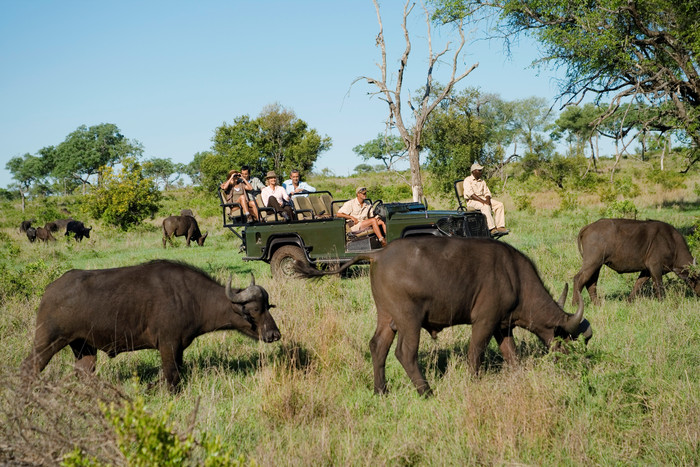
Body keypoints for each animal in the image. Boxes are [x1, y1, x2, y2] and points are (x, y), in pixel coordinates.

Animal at [21, 262, 282, 390]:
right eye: (254, 310)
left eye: (268, 306)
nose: (274, 334)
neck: (192, 298)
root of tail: (50, 290)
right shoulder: (168, 344)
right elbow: (172, 376)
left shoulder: (178, 348)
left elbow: (172, 373)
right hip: (48, 342)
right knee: (29, 368)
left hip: (84, 349)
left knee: (83, 373)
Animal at [296, 238, 592, 394]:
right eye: (567, 340)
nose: (576, 365)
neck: (515, 277)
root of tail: (378, 253)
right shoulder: (484, 322)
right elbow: (475, 353)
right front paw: (474, 381)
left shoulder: (502, 326)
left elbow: (512, 354)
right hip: (409, 320)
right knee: (405, 353)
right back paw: (425, 391)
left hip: (387, 318)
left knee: (377, 346)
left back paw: (381, 390)